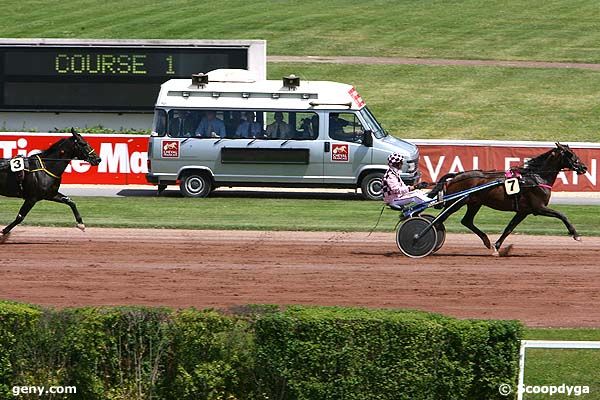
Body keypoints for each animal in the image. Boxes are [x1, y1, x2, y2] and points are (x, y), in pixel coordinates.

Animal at [428, 143, 588, 253]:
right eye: (570, 154)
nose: (584, 167)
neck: (536, 177)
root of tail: (457, 175)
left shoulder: (523, 211)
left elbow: (509, 228)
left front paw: (497, 247)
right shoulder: (538, 208)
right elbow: (562, 215)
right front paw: (575, 234)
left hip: (474, 203)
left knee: (466, 221)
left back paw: (486, 241)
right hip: (456, 202)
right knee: (440, 220)